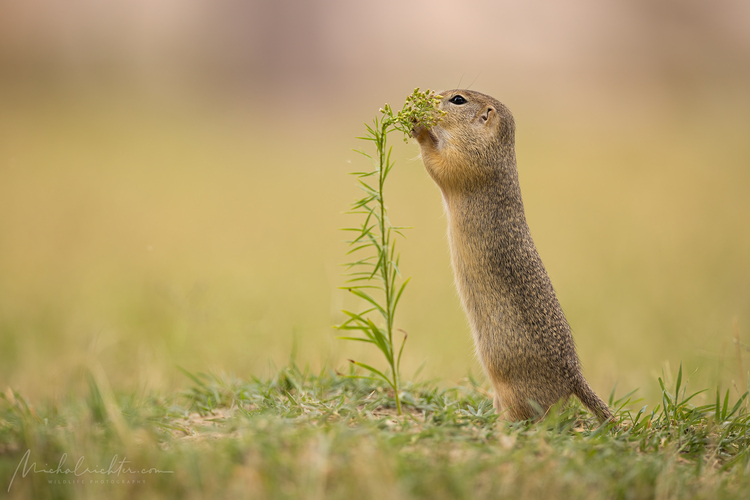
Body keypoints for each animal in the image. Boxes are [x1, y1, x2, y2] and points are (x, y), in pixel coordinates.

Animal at [412, 89, 616, 422]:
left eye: (458, 100)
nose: (431, 96)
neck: (496, 149)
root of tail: (573, 376)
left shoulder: (469, 160)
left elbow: (441, 164)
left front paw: (419, 127)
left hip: (514, 390)